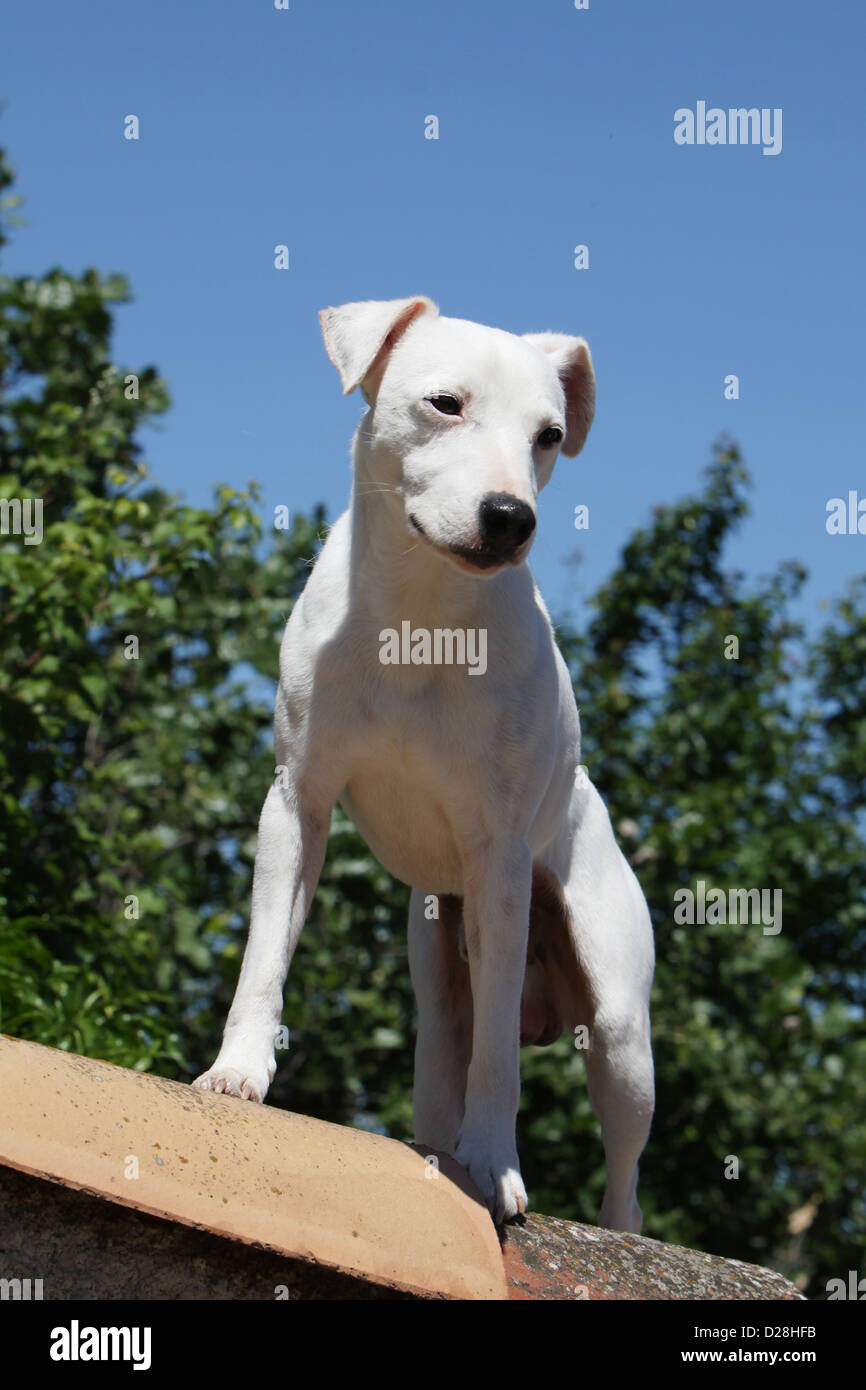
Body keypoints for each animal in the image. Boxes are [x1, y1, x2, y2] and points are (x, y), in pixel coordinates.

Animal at [194, 296, 656, 1228]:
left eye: (549, 435)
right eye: (445, 403)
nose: (511, 515)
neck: (422, 616)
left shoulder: (500, 860)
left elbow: (501, 1064)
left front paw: (495, 1162)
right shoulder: (297, 803)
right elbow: (264, 958)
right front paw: (238, 1071)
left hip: (622, 1035)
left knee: (623, 1169)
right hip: (440, 988)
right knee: (449, 1059)